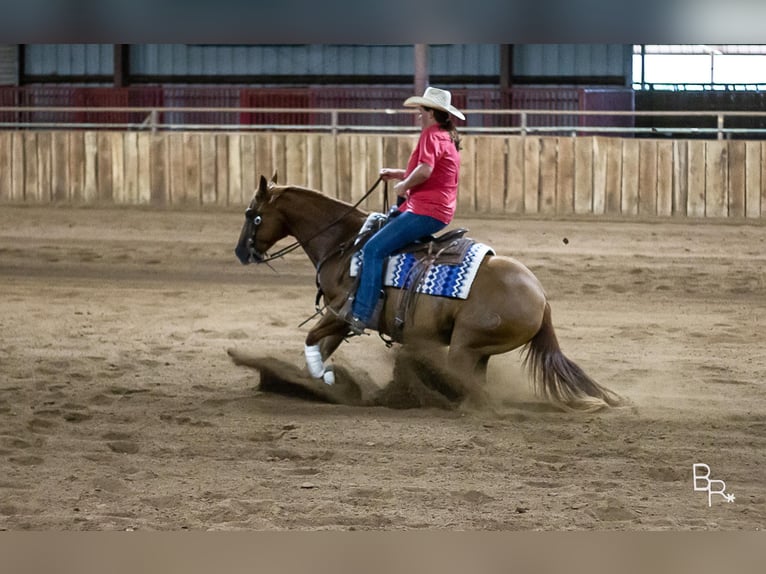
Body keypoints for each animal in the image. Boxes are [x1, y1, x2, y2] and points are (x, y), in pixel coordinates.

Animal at [234, 173, 624, 412]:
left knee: (475, 393)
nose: (241, 252)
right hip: (478, 351)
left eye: (253, 214)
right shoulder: (340, 319)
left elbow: (313, 339)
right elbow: (321, 346)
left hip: (465, 347)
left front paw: (325, 379)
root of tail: (542, 301)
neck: (345, 244)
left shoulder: (342, 313)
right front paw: (321, 383)